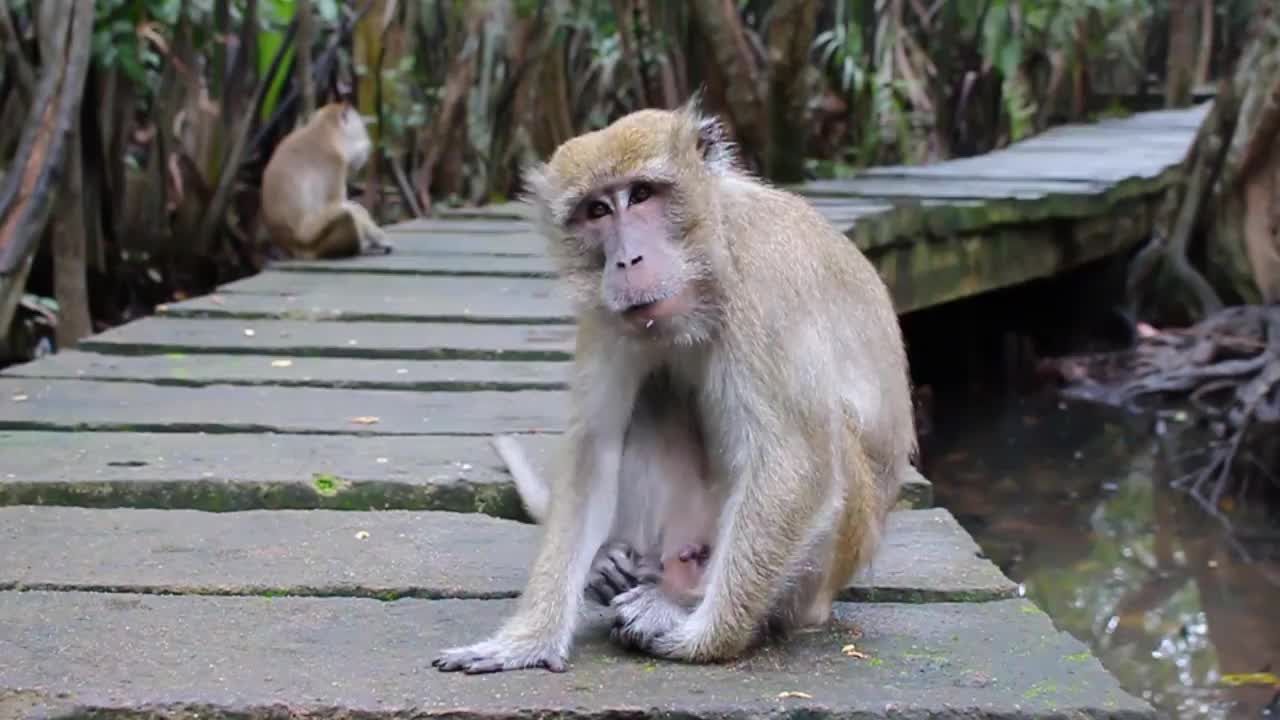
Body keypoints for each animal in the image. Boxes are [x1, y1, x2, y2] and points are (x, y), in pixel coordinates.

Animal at [259, 98, 394, 257]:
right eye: (362, 130)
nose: (368, 144)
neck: (325, 131)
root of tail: (289, 248)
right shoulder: (334, 163)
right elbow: (339, 204)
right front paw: (378, 236)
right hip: (313, 242)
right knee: (345, 214)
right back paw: (359, 248)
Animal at [435, 96, 916, 671]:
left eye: (642, 194)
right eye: (597, 211)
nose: (627, 260)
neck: (707, 269)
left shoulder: (766, 283)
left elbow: (798, 462)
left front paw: (705, 638)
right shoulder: (606, 313)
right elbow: (594, 449)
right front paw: (529, 639)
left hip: (823, 572)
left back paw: (682, 604)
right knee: (653, 396)